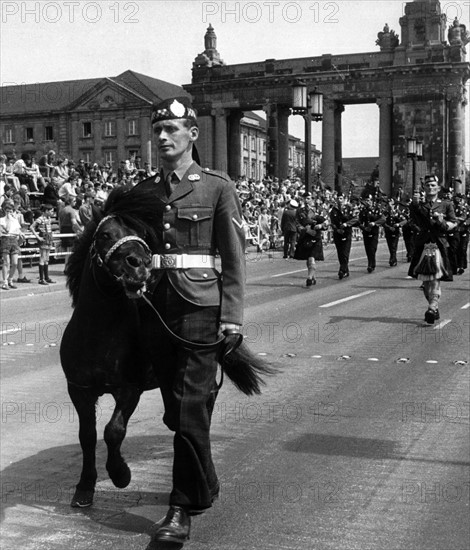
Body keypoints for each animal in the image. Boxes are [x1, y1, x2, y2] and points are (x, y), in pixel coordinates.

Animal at [60, 188, 274, 512]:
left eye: (142, 235)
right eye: (105, 235)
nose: (140, 264)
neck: (99, 336)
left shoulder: (129, 389)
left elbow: (113, 431)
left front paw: (121, 474)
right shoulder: (79, 390)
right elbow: (87, 435)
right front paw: (84, 489)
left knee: (199, 411)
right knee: (176, 416)